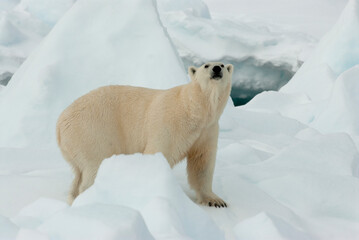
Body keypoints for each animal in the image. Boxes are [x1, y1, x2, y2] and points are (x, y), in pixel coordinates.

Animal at [57, 62, 233, 207]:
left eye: (223, 65)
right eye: (206, 65)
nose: (216, 69)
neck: (194, 109)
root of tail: (60, 123)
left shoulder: (207, 130)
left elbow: (202, 163)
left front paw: (216, 200)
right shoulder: (170, 124)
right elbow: (158, 153)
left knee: (79, 172)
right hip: (93, 132)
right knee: (95, 165)